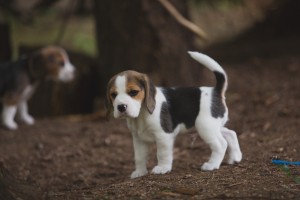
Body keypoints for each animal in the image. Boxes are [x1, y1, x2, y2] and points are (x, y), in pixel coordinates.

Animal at [106, 51, 243, 178]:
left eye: (133, 92)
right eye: (113, 95)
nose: (121, 107)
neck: (141, 115)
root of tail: (215, 91)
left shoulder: (163, 136)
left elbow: (162, 153)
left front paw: (162, 168)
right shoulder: (138, 139)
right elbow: (139, 157)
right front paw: (140, 172)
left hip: (205, 127)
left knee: (221, 144)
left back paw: (212, 165)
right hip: (213, 125)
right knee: (231, 133)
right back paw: (235, 157)